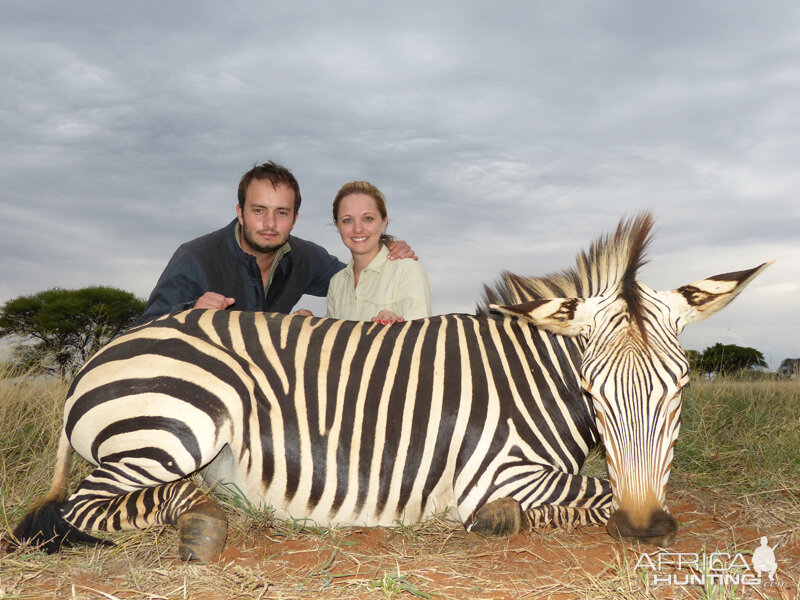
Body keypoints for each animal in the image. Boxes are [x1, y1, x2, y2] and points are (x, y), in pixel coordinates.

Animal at [6, 214, 768, 564]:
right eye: (591, 389)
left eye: (682, 386)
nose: (645, 529)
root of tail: (100, 354)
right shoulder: (500, 470)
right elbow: (594, 491)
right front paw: (501, 518)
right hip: (180, 423)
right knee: (81, 507)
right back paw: (197, 519)